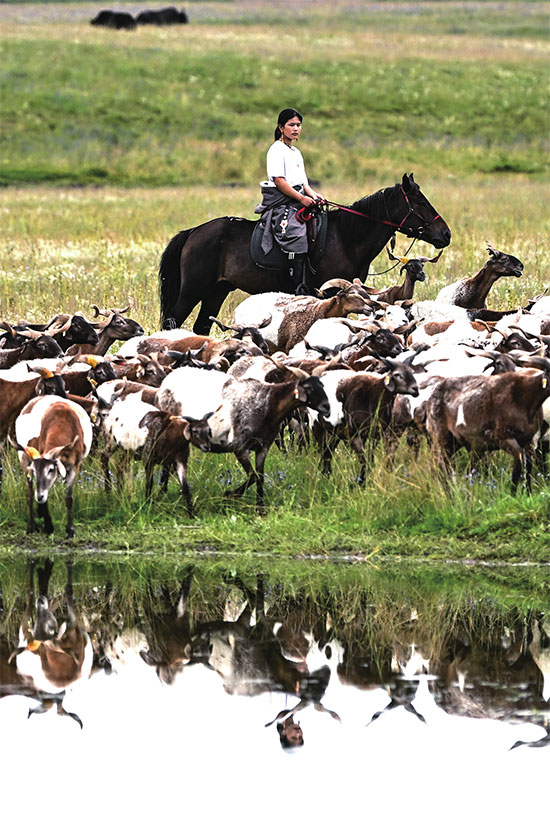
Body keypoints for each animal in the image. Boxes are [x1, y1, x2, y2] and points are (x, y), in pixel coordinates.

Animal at [11, 396, 93, 536]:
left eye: (50, 470)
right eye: (34, 471)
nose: (39, 496)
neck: (63, 420)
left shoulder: (74, 467)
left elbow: (69, 498)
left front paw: (70, 530)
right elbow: (42, 497)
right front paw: (48, 527)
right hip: (23, 457)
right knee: (29, 493)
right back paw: (32, 526)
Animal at [160, 173, 452, 334]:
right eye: (420, 202)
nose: (446, 234)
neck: (346, 237)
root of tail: (193, 232)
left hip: (216, 291)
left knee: (201, 327)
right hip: (192, 290)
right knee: (172, 322)